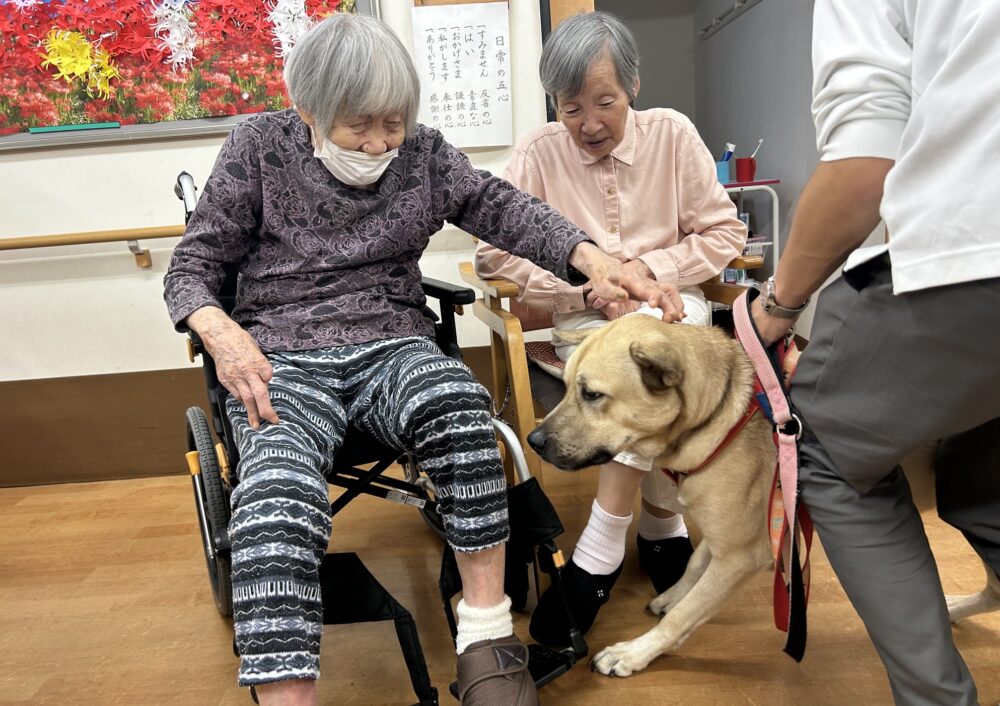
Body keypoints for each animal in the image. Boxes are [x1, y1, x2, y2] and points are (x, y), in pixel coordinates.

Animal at [528, 316, 776, 672]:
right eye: (565, 386)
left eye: (592, 394)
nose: (532, 441)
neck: (715, 417)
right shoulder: (720, 538)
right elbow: (694, 567)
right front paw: (673, 596)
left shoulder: (741, 556)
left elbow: (682, 617)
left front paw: (633, 653)